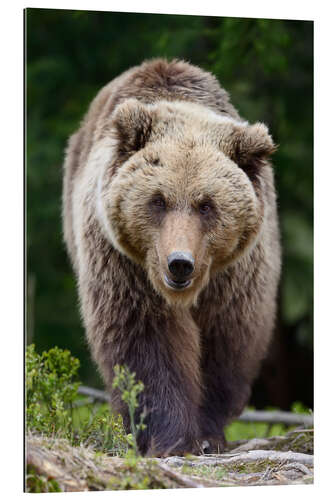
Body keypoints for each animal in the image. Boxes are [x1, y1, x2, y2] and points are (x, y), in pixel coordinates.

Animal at [62, 58, 280, 458]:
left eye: (206, 204)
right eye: (158, 200)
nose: (179, 263)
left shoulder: (235, 276)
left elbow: (225, 341)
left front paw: (207, 435)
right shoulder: (125, 265)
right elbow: (146, 341)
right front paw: (170, 437)